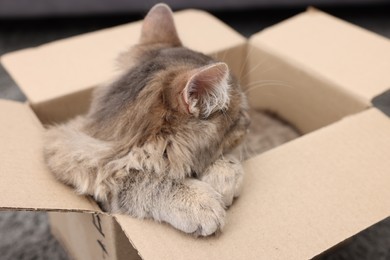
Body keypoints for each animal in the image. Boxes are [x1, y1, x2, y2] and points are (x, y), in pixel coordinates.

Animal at [42, 3, 250, 238]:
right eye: (242, 114)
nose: (250, 121)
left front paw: (225, 175)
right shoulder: (77, 160)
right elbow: (145, 178)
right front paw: (199, 202)